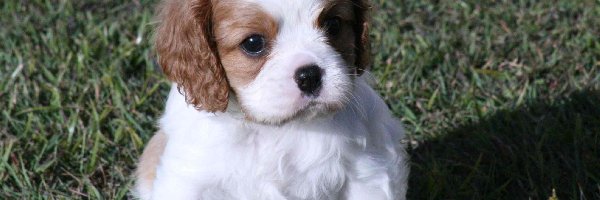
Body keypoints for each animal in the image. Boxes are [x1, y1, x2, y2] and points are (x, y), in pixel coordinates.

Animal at [134, 0, 410, 198]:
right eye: (253, 43)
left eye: (333, 24)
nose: (309, 75)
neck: (276, 129)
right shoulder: (189, 179)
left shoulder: (367, 173)